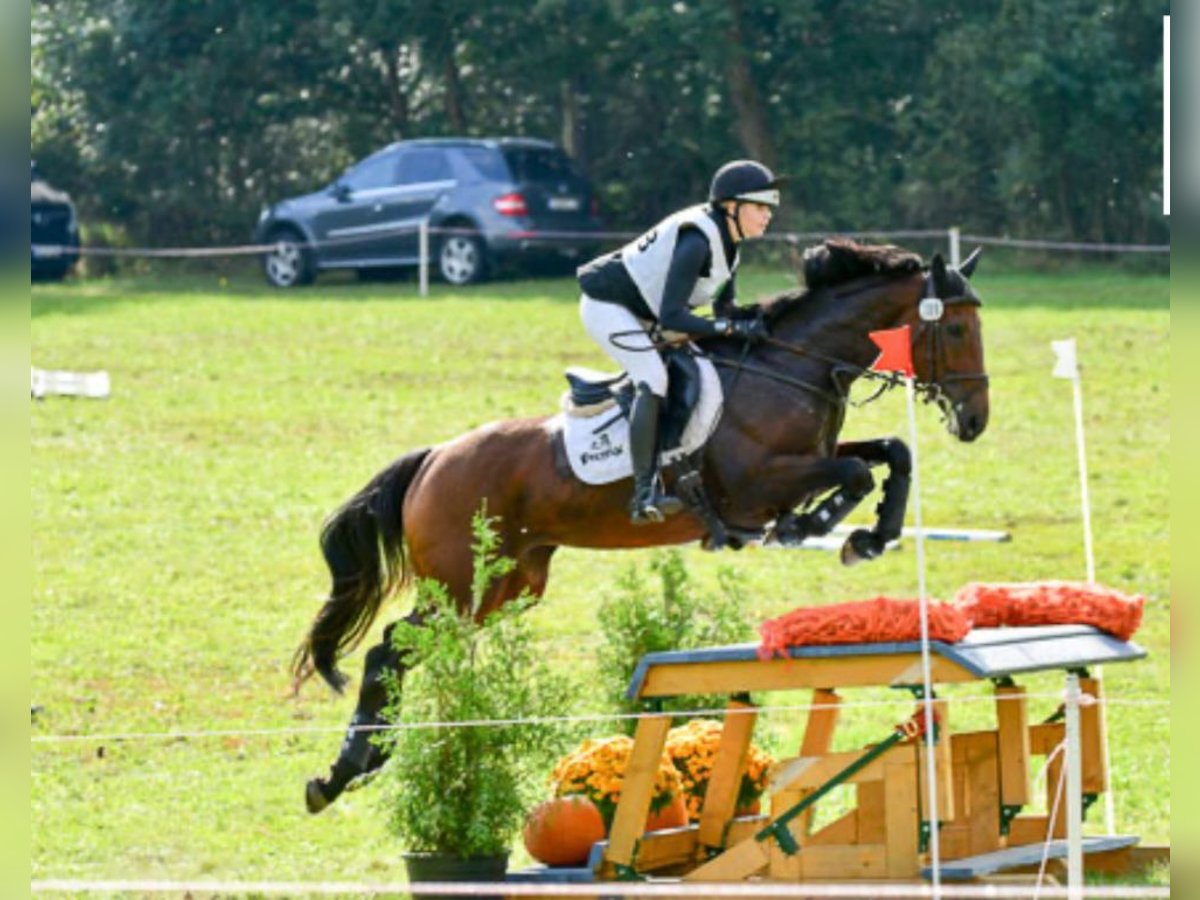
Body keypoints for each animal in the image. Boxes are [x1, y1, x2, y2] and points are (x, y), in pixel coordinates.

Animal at [295, 241, 988, 816]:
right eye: (955, 327)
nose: (975, 420)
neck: (794, 367)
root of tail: (434, 458)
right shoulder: (758, 484)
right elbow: (855, 470)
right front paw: (815, 524)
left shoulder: (810, 457)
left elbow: (892, 452)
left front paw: (869, 535)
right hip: (462, 585)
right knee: (389, 647)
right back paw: (346, 768)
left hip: (507, 588)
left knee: (409, 649)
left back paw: (361, 762)